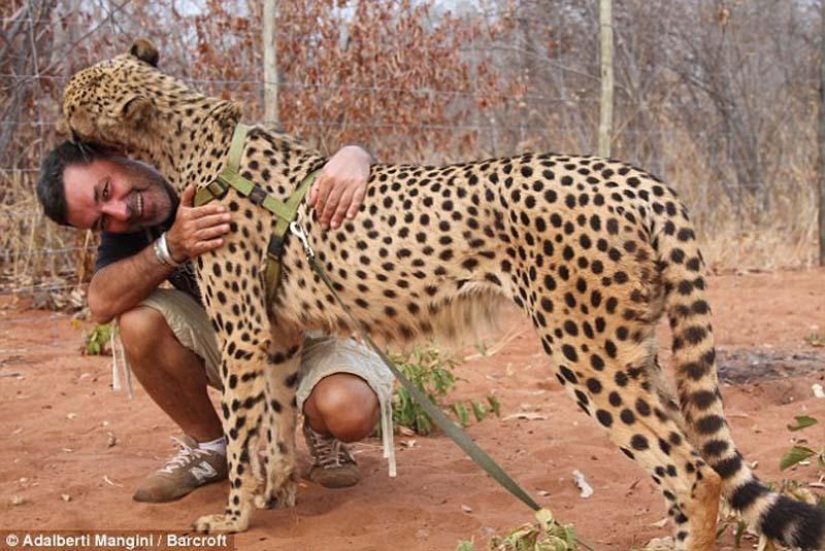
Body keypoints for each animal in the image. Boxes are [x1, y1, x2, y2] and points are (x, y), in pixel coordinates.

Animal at [57, 39, 824, 550]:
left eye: (74, 98)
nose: (59, 120)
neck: (192, 136)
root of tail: (635, 176)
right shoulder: (276, 335)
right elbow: (273, 424)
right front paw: (277, 496)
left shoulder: (245, 333)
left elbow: (248, 430)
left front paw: (235, 514)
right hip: (634, 347)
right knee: (697, 457)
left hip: (587, 352)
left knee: (691, 469)